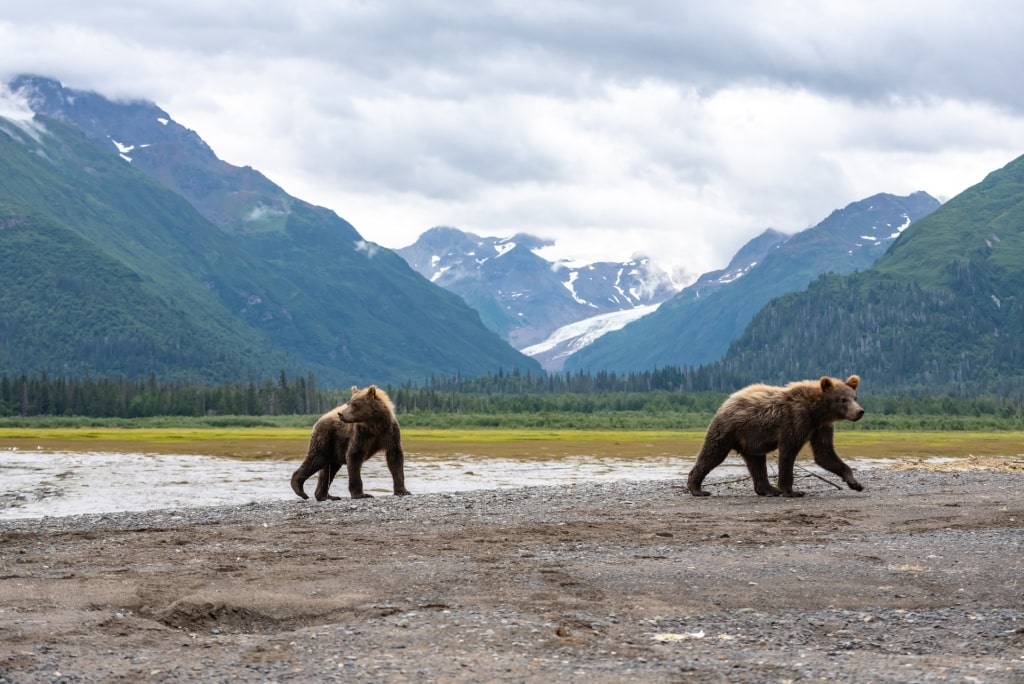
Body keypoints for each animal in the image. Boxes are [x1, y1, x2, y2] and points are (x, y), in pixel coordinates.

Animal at [688, 374, 864, 497]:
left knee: (757, 462)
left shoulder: (821, 427)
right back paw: (697, 489)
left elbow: (825, 453)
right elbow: (788, 452)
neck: (817, 412)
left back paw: (768, 489)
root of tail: (727, 400)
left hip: (751, 439)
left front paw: (855, 483)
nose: (859, 411)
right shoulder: (796, 419)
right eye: (843, 399)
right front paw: (792, 491)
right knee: (712, 453)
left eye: (855, 397)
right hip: (729, 429)